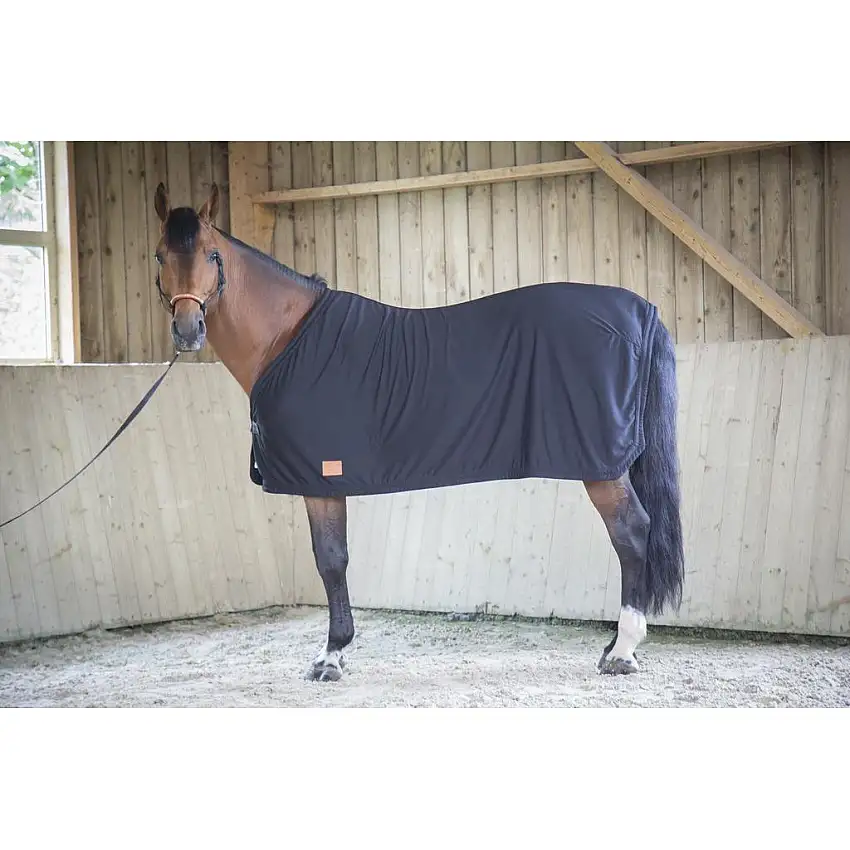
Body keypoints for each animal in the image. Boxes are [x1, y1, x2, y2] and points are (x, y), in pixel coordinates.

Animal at [151, 181, 684, 682]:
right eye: (159, 254)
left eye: (212, 255)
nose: (187, 329)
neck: (288, 338)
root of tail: (642, 311)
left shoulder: (322, 477)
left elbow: (331, 560)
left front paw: (332, 655)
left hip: (603, 467)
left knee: (631, 533)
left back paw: (622, 651)